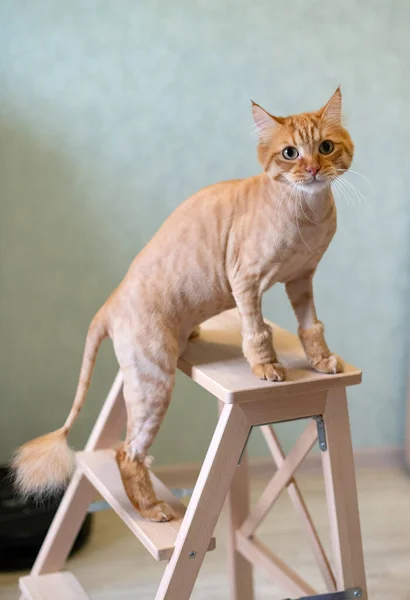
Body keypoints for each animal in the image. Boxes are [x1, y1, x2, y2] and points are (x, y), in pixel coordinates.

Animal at [12, 88, 352, 520]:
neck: (308, 214)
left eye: (325, 148)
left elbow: (310, 326)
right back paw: (151, 509)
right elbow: (256, 329)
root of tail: (109, 302)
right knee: (126, 452)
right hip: (153, 380)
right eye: (290, 153)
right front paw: (266, 366)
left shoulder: (302, 279)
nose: (311, 170)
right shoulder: (246, 281)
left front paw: (321, 361)